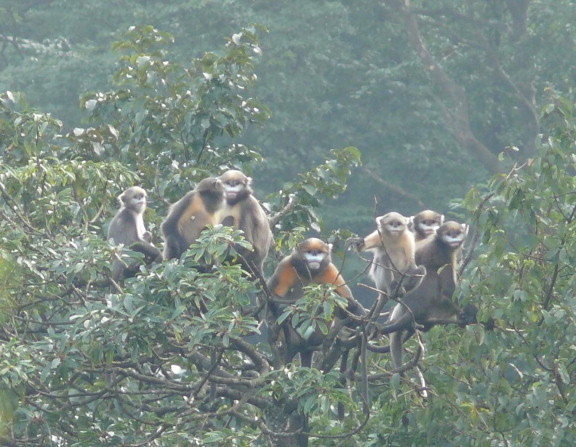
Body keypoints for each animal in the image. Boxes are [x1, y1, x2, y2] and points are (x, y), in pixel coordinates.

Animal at [266, 240, 364, 370]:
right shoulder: (285, 265)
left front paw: (357, 312)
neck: (309, 273)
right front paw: (284, 310)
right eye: (309, 252)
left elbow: (346, 300)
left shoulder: (330, 270)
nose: (314, 255)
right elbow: (271, 295)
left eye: (319, 252)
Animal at [378, 220, 476, 372]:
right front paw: (466, 312)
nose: (454, 237)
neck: (439, 242)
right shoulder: (444, 254)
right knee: (430, 271)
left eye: (457, 233)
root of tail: (414, 308)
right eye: (449, 234)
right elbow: (448, 291)